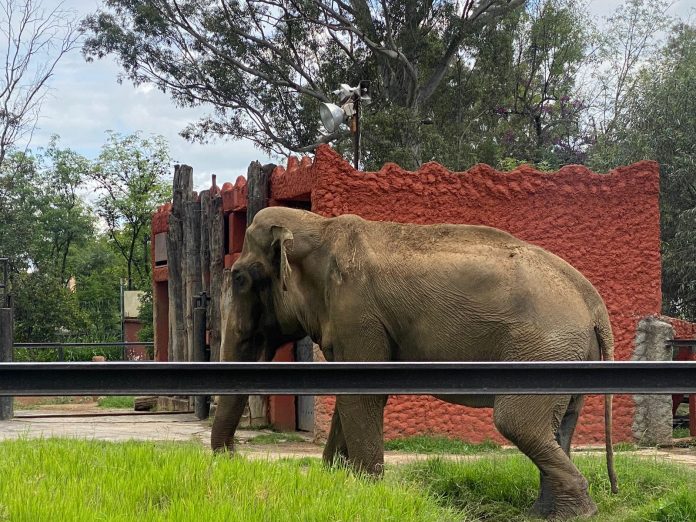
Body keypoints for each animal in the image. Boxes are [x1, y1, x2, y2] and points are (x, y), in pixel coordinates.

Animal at [211, 206, 618, 520]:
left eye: (241, 278)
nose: (234, 458)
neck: (319, 226)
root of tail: (593, 300)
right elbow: (350, 392)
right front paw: (339, 483)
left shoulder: (358, 314)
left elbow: (362, 395)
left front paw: (364, 491)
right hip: (568, 354)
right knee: (557, 427)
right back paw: (547, 513)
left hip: (544, 348)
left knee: (516, 422)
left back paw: (575, 513)